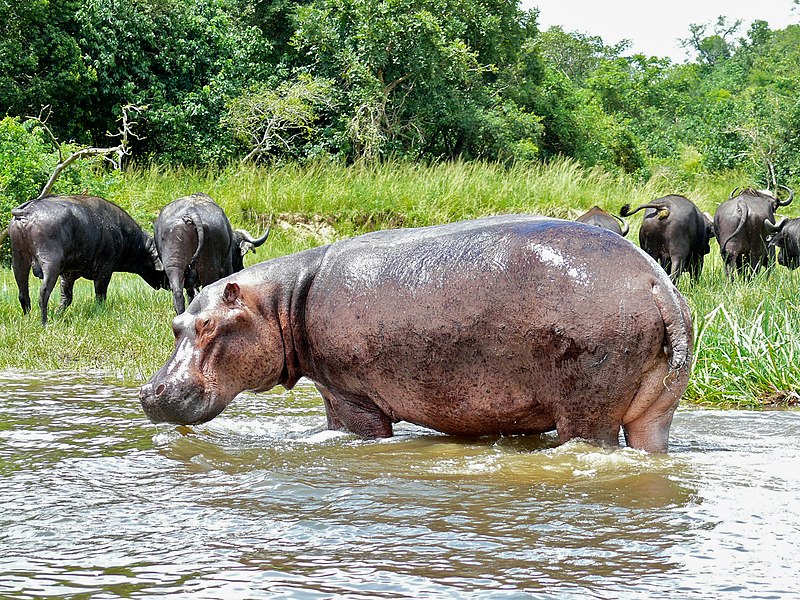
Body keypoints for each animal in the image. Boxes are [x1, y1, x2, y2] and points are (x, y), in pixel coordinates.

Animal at [7, 196, 166, 328]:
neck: (122, 233)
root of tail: (27, 212)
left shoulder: (68, 275)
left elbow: (66, 298)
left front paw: (58, 314)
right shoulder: (105, 271)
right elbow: (100, 294)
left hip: (19, 260)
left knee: (23, 294)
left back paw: (28, 319)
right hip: (50, 263)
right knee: (43, 293)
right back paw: (44, 323)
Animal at [141, 213, 692, 452]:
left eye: (208, 325)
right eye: (176, 324)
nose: (149, 391)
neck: (281, 300)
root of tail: (651, 279)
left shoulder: (350, 395)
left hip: (585, 406)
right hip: (656, 408)